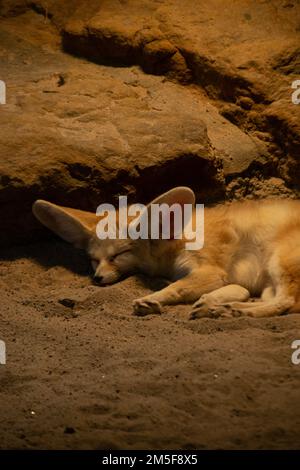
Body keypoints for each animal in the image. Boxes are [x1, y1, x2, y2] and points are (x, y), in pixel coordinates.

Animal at [32, 187, 300, 320]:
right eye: (93, 259)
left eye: (119, 255)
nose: (97, 278)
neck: (178, 238)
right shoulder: (230, 279)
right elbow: (239, 289)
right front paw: (211, 301)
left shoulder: (212, 271)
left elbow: (177, 287)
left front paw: (153, 299)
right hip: (268, 284)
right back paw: (222, 308)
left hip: (278, 262)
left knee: (287, 303)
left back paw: (233, 311)